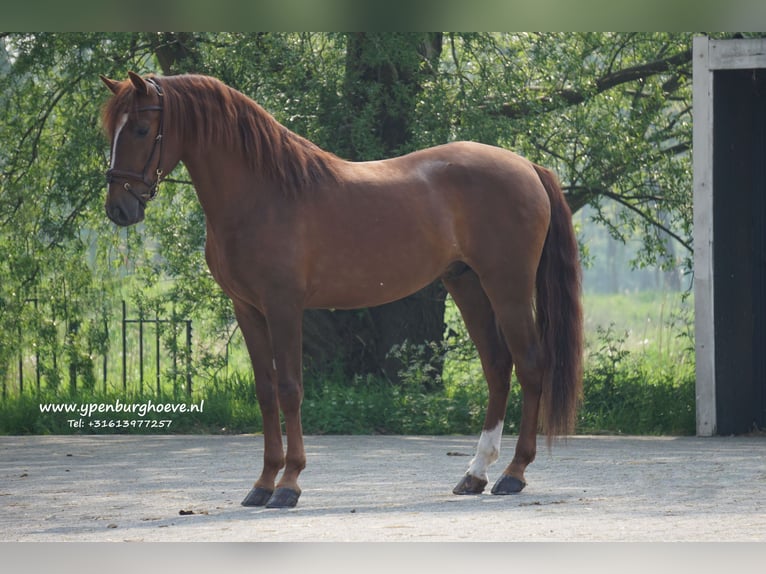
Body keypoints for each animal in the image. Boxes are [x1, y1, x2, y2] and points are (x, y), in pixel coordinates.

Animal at [100, 73, 584, 512]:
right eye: (111, 130)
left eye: (140, 128)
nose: (119, 209)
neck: (262, 193)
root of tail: (527, 167)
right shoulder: (247, 309)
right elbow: (265, 392)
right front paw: (262, 484)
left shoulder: (283, 307)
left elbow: (290, 389)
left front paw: (289, 484)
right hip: (467, 284)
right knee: (498, 368)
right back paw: (475, 474)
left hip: (508, 287)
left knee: (531, 365)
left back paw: (513, 473)